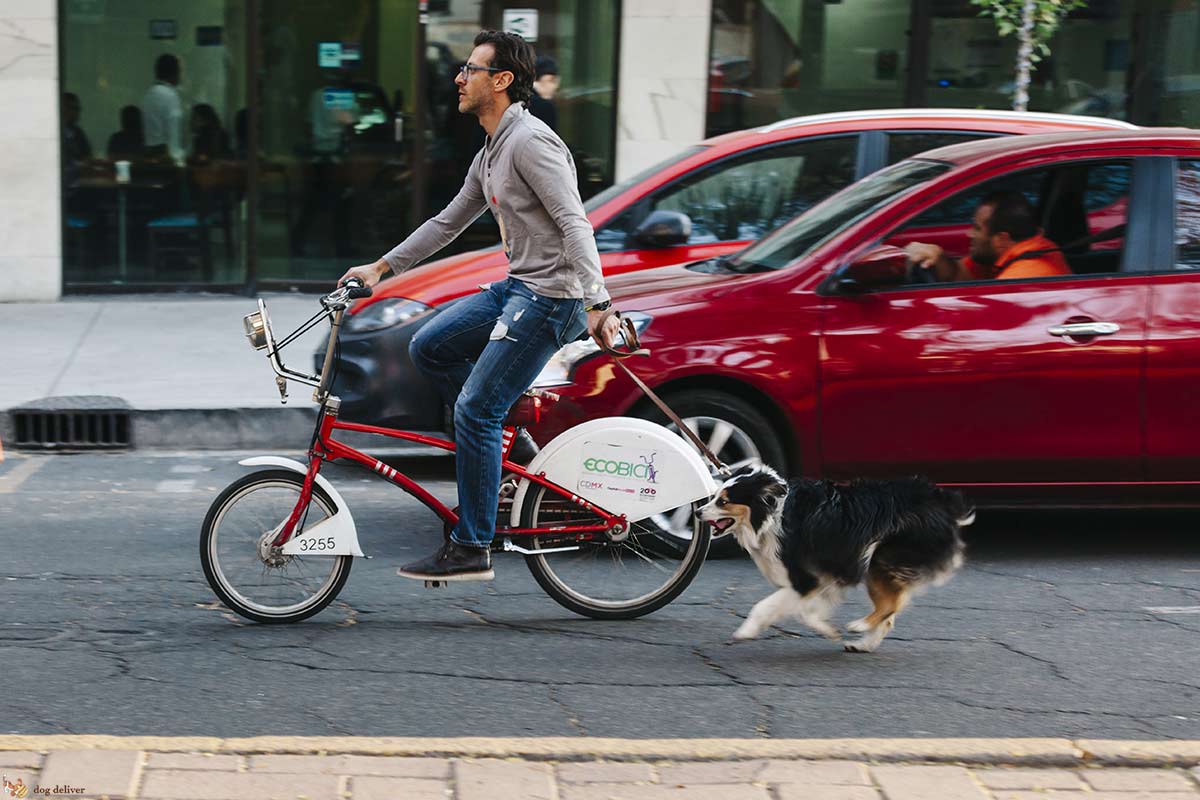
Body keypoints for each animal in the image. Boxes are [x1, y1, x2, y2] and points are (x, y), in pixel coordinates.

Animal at [700, 465, 969, 652]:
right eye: (715, 496)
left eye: (723, 501)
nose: (698, 512)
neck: (771, 515)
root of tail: (940, 499)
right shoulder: (821, 578)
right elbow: (808, 612)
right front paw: (826, 629)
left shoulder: (805, 579)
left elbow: (764, 606)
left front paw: (745, 631)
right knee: (889, 615)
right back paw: (863, 645)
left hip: (881, 557)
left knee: (890, 606)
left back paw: (860, 626)